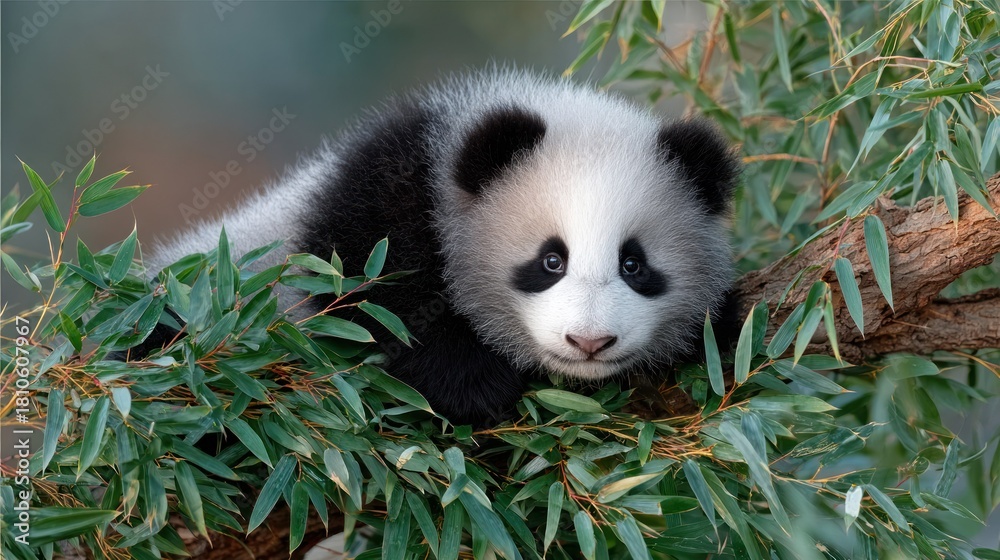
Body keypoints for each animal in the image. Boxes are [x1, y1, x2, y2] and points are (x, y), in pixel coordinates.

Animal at [144, 67, 741, 427]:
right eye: (551, 260)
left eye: (634, 264)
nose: (589, 341)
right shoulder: (386, 187)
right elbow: (361, 293)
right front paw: (473, 381)